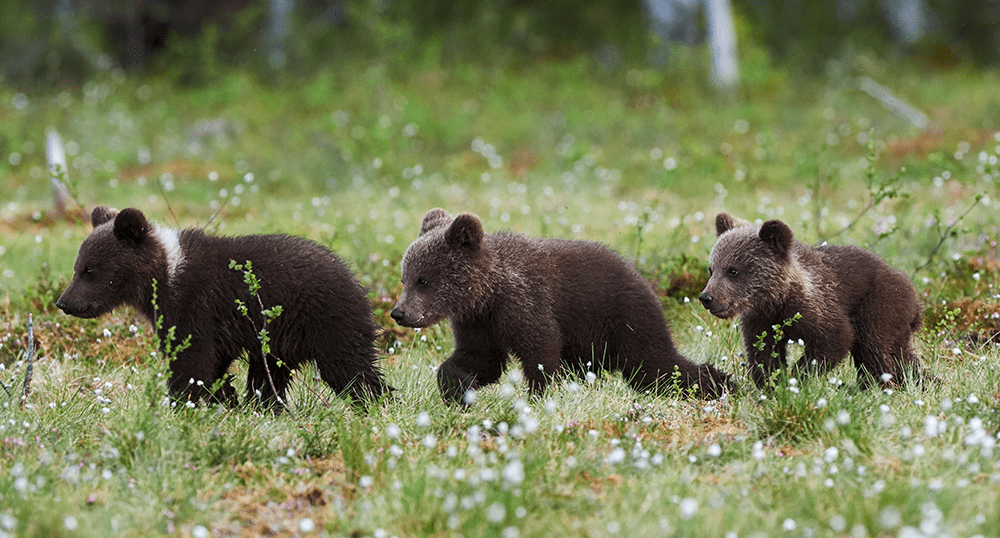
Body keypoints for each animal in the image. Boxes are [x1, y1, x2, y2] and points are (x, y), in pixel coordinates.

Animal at [56, 205, 391, 409]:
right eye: (77, 267)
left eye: (89, 270)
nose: (64, 302)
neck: (165, 275)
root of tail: (356, 279)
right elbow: (213, 364)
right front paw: (224, 398)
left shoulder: (194, 305)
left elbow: (191, 361)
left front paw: (183, 402)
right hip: (278, 341)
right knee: (269, 376)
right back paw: (264, 407)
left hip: (325, 318)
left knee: (350, 367)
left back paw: (376, 401)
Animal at [389, 208, 732, 404]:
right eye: (405, 278)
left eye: (423, 279)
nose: (399, 313)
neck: (488, 294)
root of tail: (643, 279)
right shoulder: (478, 322)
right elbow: (480, 359)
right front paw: (457, 389)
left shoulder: (524, 303)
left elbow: (540, 348)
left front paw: (537, 397)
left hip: (625, 320)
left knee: (657, 366)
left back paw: (721, 382)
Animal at [699, 212, 924, 390]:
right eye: (711, 269)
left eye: (733, 270)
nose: (706, 297)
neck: (778, 299)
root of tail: (914, 297)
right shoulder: (761, 320)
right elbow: (763, 353)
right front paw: (772, 385)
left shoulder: (819, 307)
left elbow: (834, 339)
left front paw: (796, 378)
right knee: (903, 356)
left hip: (879, 306)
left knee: (875, 350)